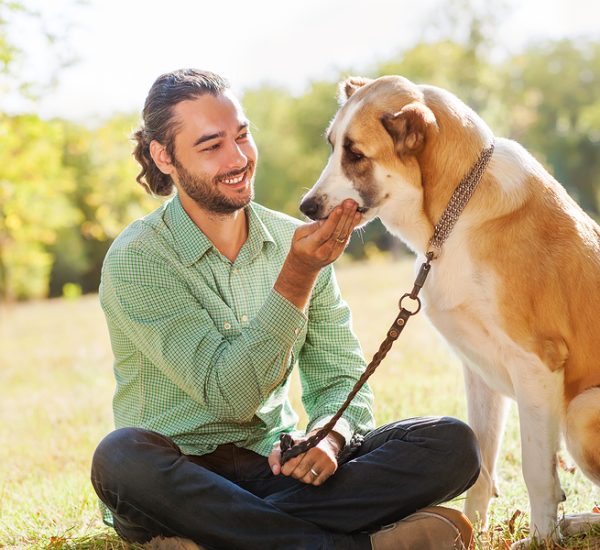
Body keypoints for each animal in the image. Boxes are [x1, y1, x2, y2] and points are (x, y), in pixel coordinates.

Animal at [298, 75, 600, 548]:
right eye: (332, 146)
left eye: (356, 155)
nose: (306, 208)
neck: (456, 212)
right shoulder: (480, 373)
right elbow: (482, 464)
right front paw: (472, 530)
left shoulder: (536, 364)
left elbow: (536, 470)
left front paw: (541, 539)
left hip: (583, 409)